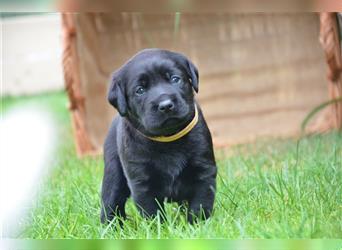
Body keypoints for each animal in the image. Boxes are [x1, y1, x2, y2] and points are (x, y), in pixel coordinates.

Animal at [100, 48, 216, 223]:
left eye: (175, 79)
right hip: (113, 171)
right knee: (110, 202)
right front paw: (160, 228)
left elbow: (200, 205)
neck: (167, 139)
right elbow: (153, 213)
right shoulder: (142, 183)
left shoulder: (204, 171)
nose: (166, 105)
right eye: (140, 90)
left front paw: (197, 225)